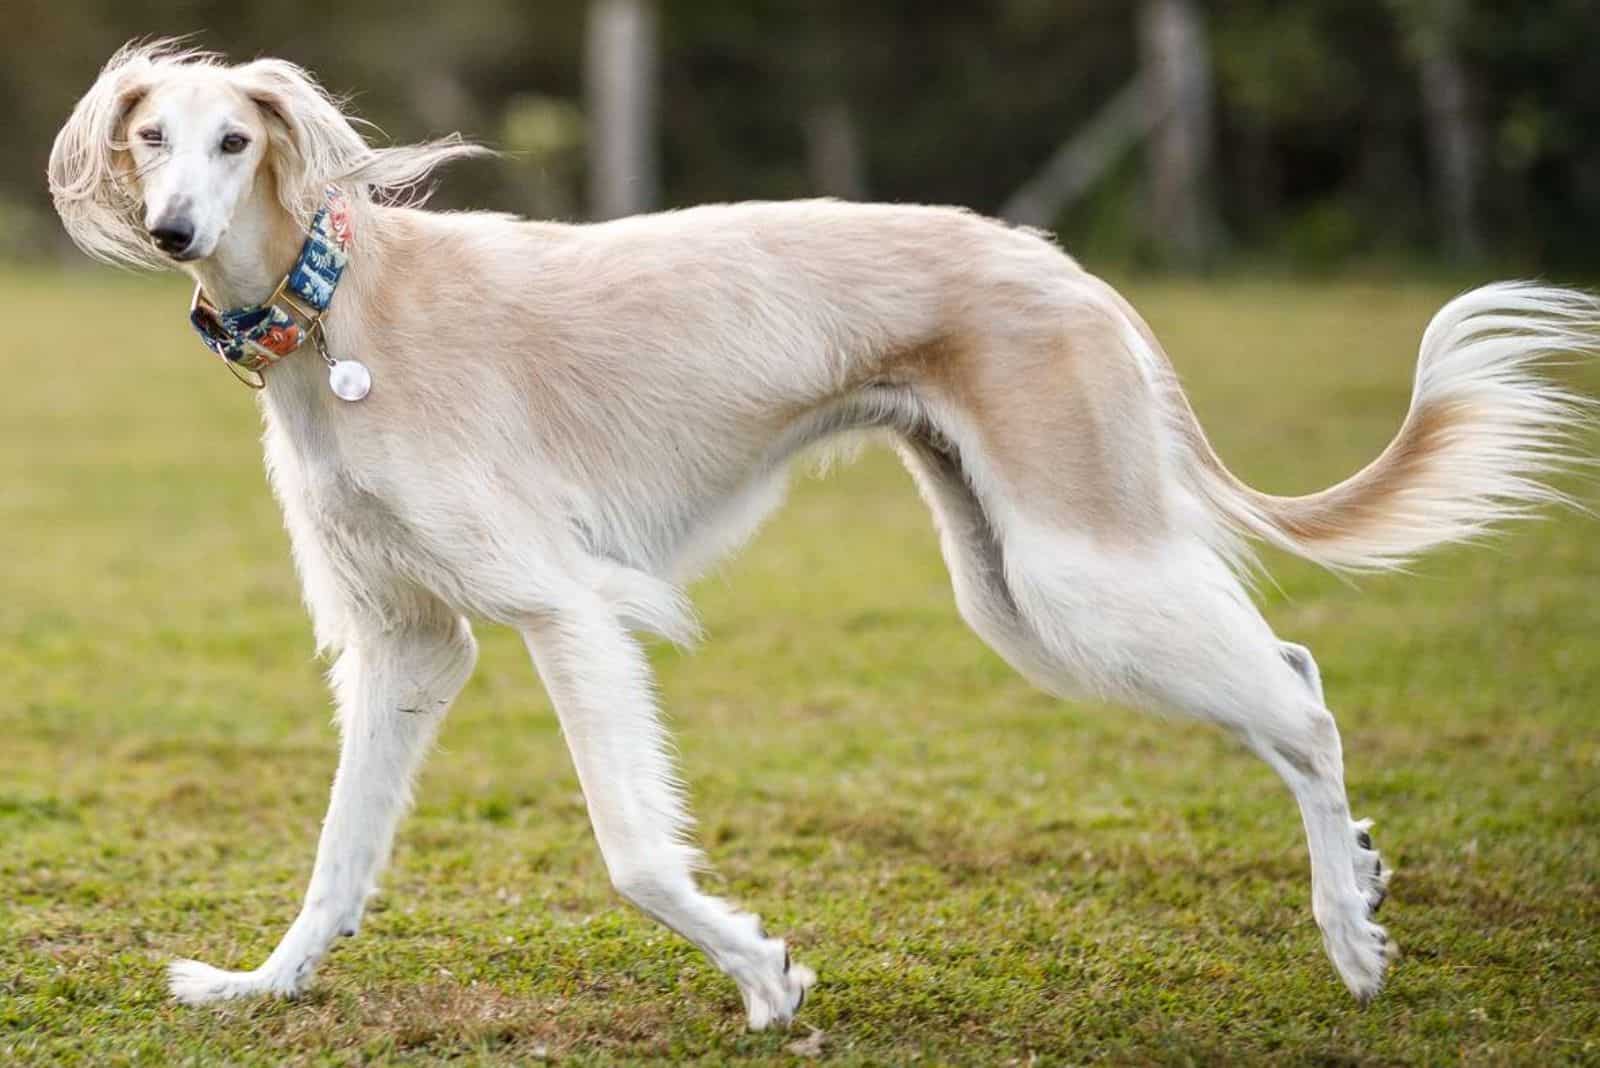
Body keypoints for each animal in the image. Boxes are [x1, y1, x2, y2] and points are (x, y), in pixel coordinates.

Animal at [43, 45, 1593, 1029]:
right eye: (149, 138)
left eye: (236, 140)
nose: (174, 231)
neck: (335, 308)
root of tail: (1068, 268)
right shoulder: (405, 646)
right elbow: (340, 859)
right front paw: (260, 986)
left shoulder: (561, 607)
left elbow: (634, 853)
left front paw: (763, 975)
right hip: (1016, 591)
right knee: (1294, 674)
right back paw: (1363, 886)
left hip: (1078, 569)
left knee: (1305, 705)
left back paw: (1351, 939)